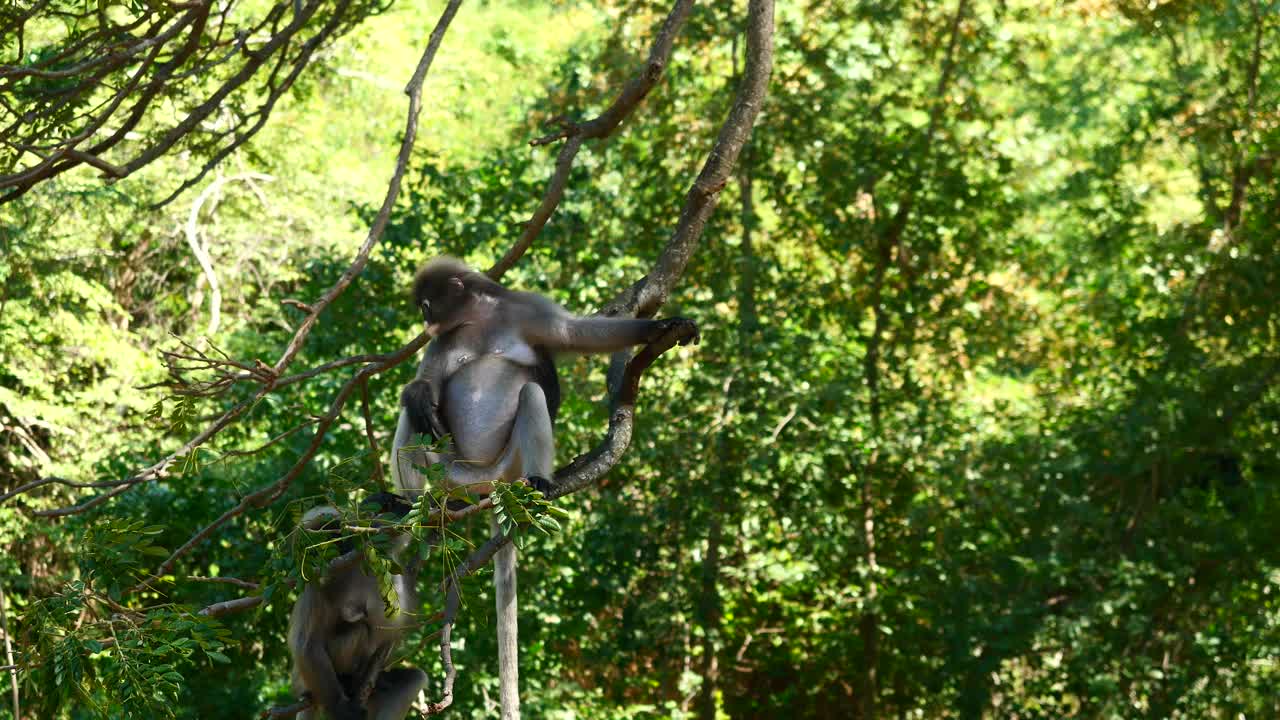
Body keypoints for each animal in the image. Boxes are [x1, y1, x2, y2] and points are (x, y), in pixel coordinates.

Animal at [289, 489, 424, 717]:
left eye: (333, 536)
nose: (328, 554)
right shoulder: (318, 584)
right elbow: (306, 645)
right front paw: (341, 709)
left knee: (413, 679)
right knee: (357, 629)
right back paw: (347, 682)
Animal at [386, 254, 701, 712]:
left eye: (427, 306)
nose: (426, 321)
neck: (482, 321)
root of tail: (486, 485)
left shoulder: (527, 309)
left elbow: (575, 333)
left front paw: (664, 325)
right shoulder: (445, 342)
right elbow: (425, 385)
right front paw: (418, 392)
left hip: (505, 464)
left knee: (531, 393)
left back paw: (535, 483)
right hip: (448, 470)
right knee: (415, 417)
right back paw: (413, 508)